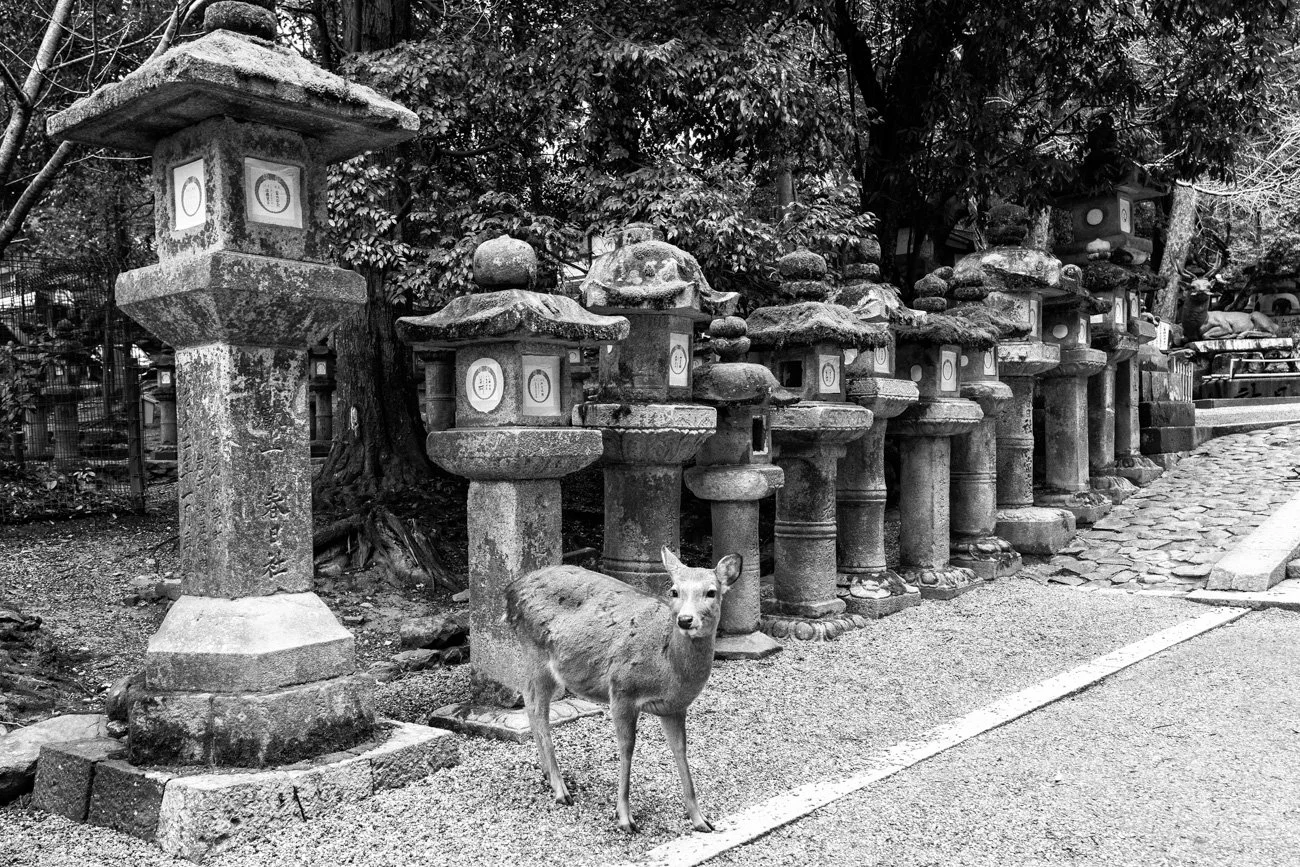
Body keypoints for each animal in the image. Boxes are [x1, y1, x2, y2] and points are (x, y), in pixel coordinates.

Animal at [503, 547, 743, 834]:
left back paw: (548, 774)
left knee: (531, 705)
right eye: (674, 591)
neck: (667, 668)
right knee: (537, 709)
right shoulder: (621, 690)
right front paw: (625, 818)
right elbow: (627, 748)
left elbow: (680, 750)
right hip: (536, 652)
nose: (685, 620)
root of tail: (511, 590)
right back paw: (561, 790)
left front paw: (701, 819)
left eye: (711, 592)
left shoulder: (674, 707)